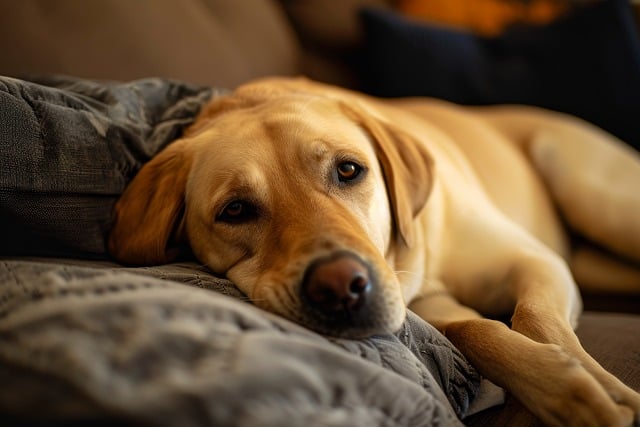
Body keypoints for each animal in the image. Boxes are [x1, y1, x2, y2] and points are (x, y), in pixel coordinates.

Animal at [110, 76, 640, 424]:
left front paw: (602, 387)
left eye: (348, 170)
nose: (341, 288)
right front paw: (571, 391)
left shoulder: (538, 262)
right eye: (236, 210)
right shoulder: (428, 304)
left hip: (597, 198)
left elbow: (534, 316)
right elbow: (476, 329)